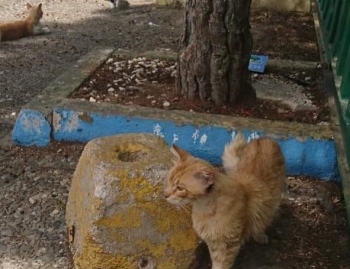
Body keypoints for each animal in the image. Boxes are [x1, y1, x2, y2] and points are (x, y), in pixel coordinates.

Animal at [163, 132, 284, 268]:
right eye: (169, 180)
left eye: (180, 188)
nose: (165, 195)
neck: (205, 209)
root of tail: (263, 138)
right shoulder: (214, 244)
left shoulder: (229, 245)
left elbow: (222, 265)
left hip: (274, 199)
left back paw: (260, 234)